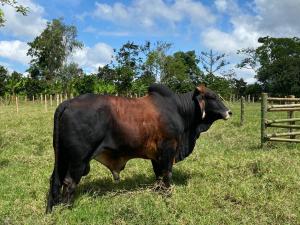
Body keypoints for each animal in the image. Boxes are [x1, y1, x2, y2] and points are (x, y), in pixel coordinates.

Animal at [45, 84, 231, 213]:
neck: (180, 110)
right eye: (212, 96)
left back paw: (51, 210)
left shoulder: (157, 156)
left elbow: (159, 176)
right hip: (79, 159)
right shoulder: (168, 149)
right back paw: (67, 210)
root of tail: (66, 103)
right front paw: (169, 198)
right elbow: (167, 175)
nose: (229, 112)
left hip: (62, 157)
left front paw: (159, 194)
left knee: (55, 180)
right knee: (69, 182)